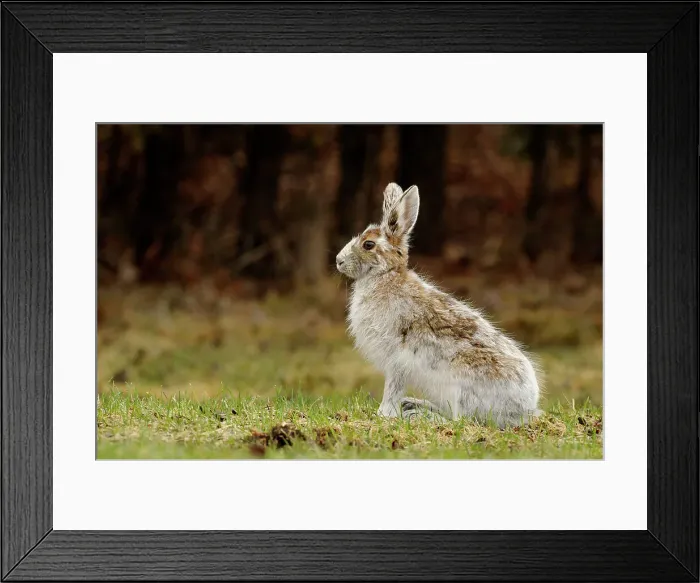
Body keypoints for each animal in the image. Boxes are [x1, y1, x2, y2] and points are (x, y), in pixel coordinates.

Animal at [335, 182, 542, 428]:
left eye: (368, 245)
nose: (338, 261)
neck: (385, 275)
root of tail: (524, 409)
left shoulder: (397, 360)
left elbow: (392, 389)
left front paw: (384, 415)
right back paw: (413, 405)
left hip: (461, 390)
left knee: (460, 420)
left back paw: (418, 414)